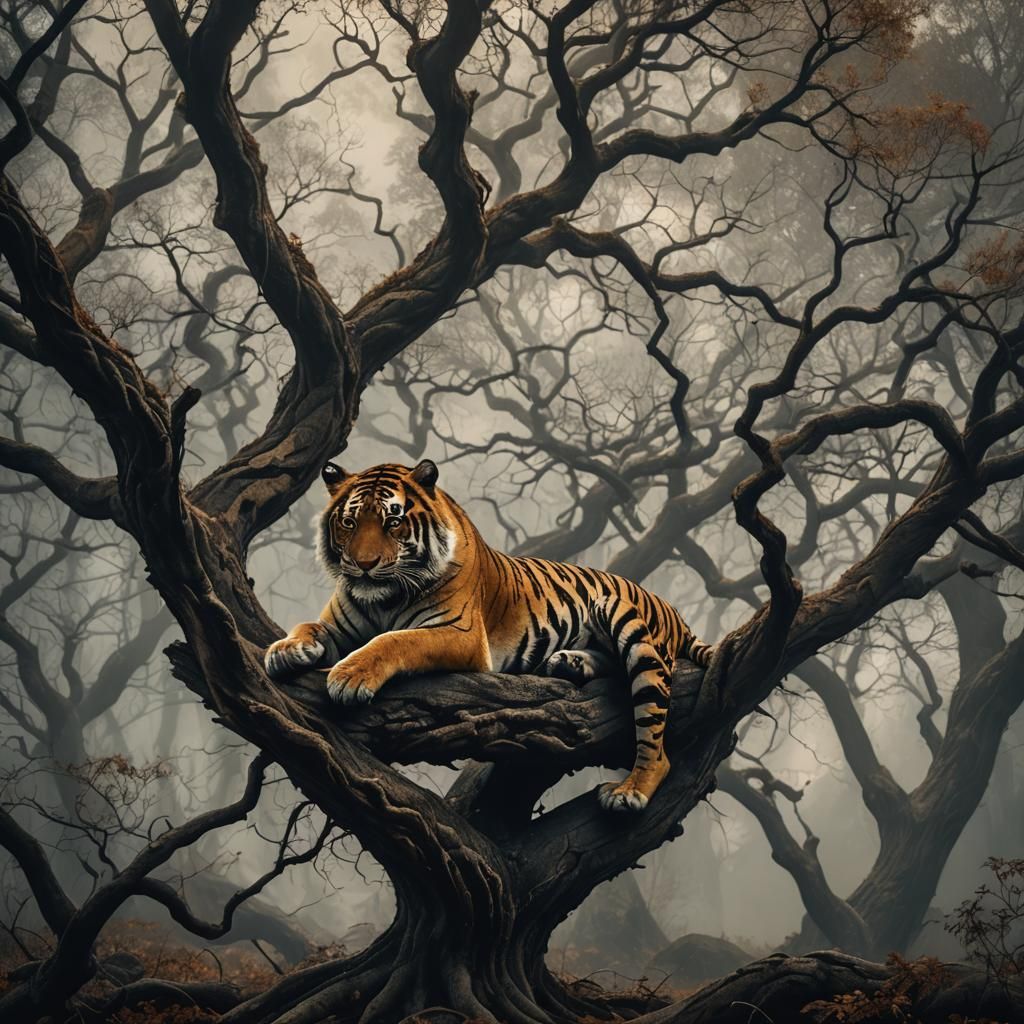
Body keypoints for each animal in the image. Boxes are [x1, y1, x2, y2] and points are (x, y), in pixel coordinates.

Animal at [265, 459, 713, 811]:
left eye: (393, 522)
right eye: (349, 522)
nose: (363, 565)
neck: (383, 600)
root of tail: (671, 607)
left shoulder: (458, 632)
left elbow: (396, 640)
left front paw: (349, 676)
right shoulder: (339, 625)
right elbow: (310, 626)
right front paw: (285, 649)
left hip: (624, 621)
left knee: (654, 737)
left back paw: (629, 792)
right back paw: (569, 662)